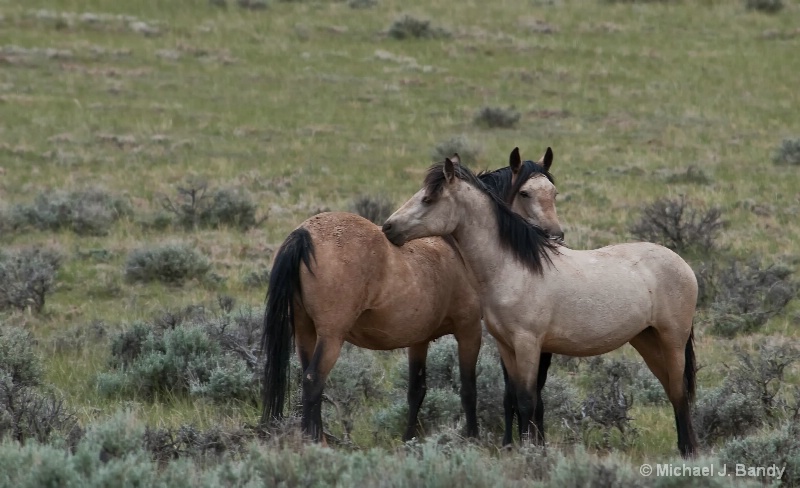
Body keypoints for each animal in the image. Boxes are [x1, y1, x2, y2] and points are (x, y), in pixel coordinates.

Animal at [262, 153, 564, 442]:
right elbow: (469, 389)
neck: (458, 249)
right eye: (525, 193)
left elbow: (416, 391)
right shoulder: (469, 330)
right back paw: (314, 442)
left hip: (304, 331)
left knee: (307, 379)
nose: (555, 237)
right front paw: (472, 437)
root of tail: (304, 234)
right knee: (314, 381)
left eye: (553, 192)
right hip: (331, 336)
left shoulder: (419, 338)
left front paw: (409, 438)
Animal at [384, 157, 696, 458]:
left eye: (428, 199)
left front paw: (529, 451)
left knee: (680, 392)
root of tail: (683, 264)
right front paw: (512, 447)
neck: (515, 269)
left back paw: (688, 451)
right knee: (672, 389)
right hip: (646, 340)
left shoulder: (528, 344)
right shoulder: (506, 346)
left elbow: (526, 400)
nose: (388, 228)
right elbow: (512, 397)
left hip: (672, 340)